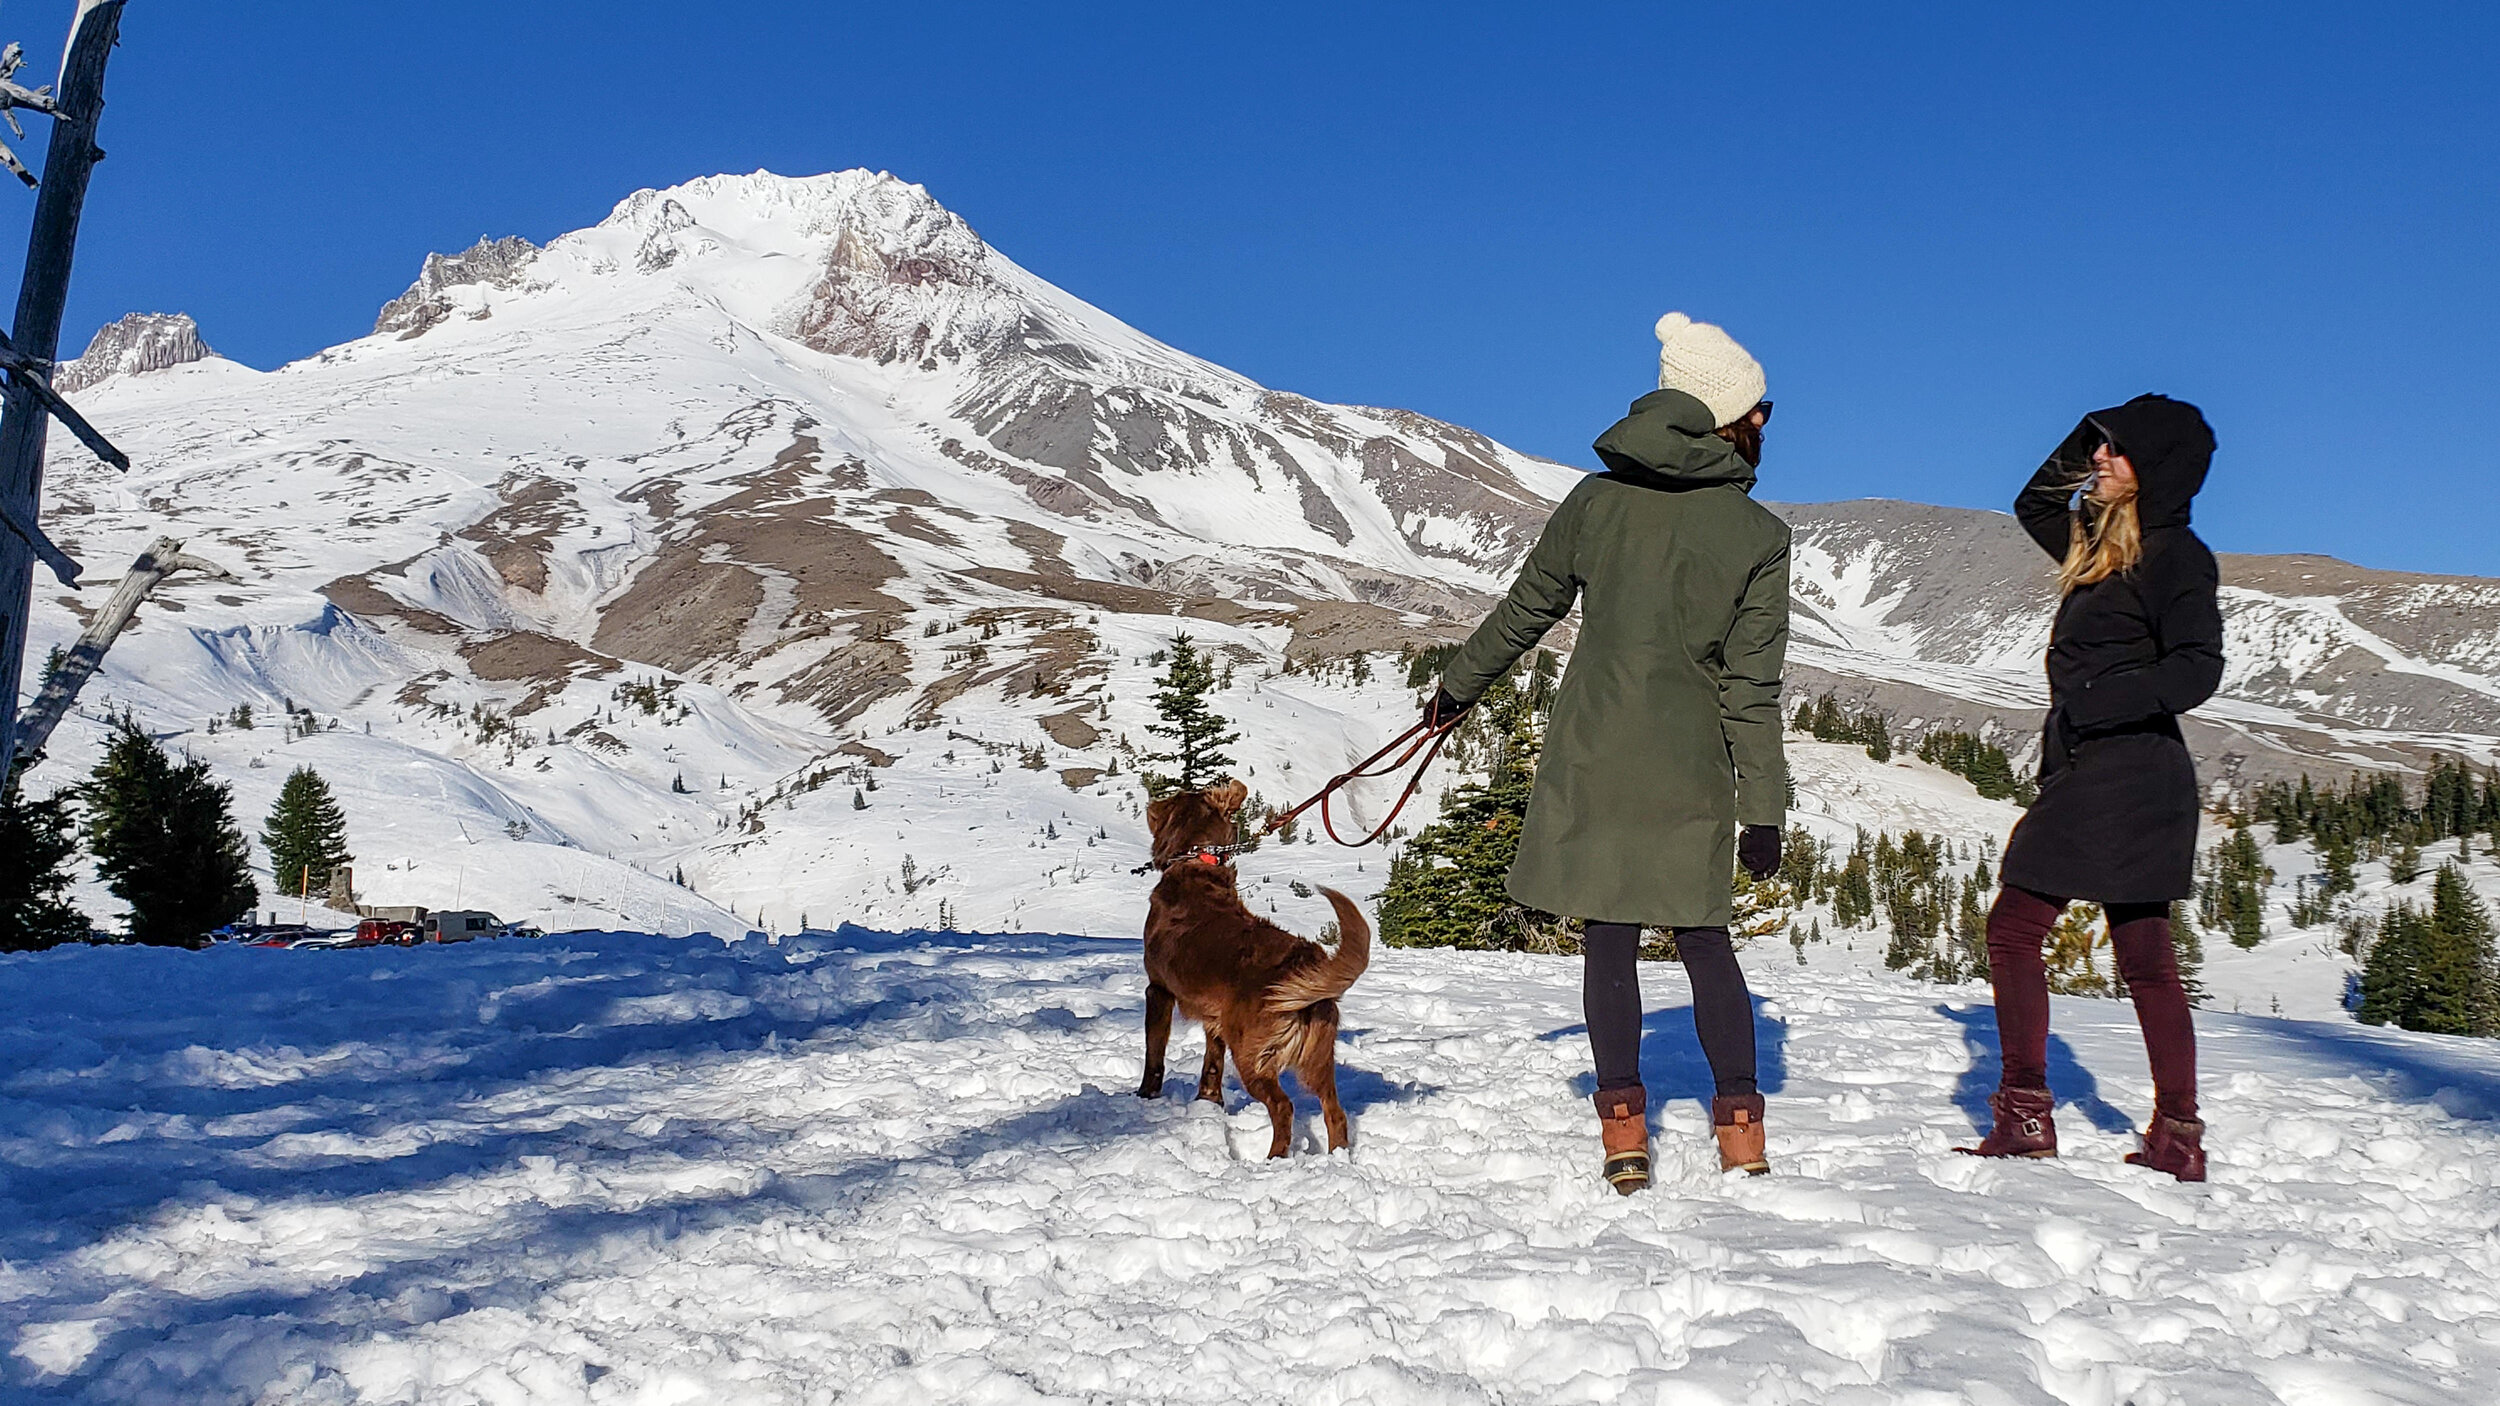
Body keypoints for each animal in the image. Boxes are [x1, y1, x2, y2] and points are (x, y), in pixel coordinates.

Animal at [1140, 770, 1370, 1155]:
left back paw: (1275, 1157)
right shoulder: (1216, 1018)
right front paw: (1209, 1102)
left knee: (1283, 1106)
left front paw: (1144, 1097)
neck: (1196, 864)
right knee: (1334, 1111)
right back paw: (1336, 1156)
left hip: (1253, 1055)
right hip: (1318, 1058)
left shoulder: (1157, 990)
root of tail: (1302, 963)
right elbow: (1212, 1063)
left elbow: (1153, 1056)